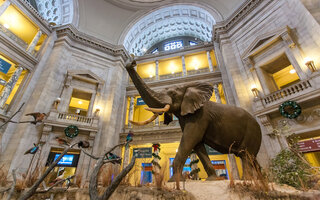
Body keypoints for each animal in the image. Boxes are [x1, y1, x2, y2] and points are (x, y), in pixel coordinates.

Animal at [125, 60, 262, 180]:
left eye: (173, 94)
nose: (131, 62)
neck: (187, 87)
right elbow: (197, 144)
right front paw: (213, 180)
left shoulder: (200, 116)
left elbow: (189, 139)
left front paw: (174, 181)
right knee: (251, 158)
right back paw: (259, 181)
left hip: (252, 132)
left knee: (245, 156)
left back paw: (247, 181)